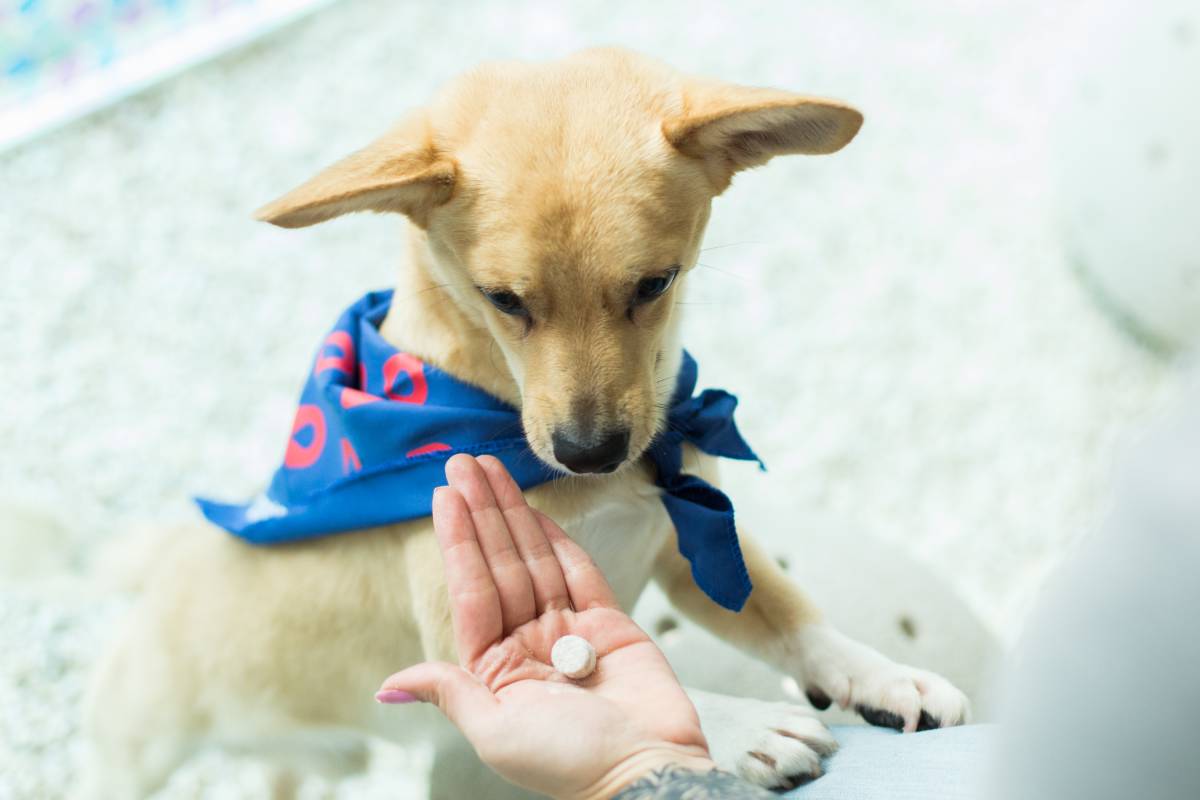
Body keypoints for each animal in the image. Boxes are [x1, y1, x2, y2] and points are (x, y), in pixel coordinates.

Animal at [79, 47, 969, 796]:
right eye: (502, 300)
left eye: (656, 282)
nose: (589, 451)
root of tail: (155, 573)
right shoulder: (461, 634)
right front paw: (743, 726)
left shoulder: (684, 545)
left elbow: (791, 615)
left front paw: (883, 675)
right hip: (139, 754)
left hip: (311, 763)